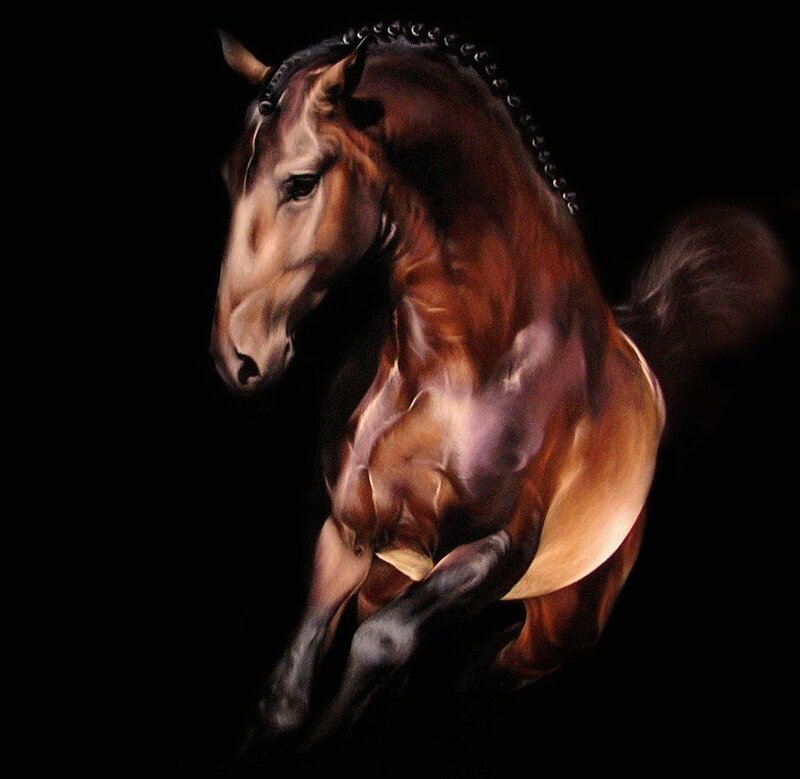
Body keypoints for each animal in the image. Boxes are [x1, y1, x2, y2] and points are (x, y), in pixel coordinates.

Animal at [210, 22, 787, 742]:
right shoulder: (348, 537)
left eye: (301, 181)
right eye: (229, 177)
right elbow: (285, 698)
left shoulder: (495, 550)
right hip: (390, 576)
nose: (238, 359)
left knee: (472, 681)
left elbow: (383, 644)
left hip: (548, 636)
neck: (460, 367)